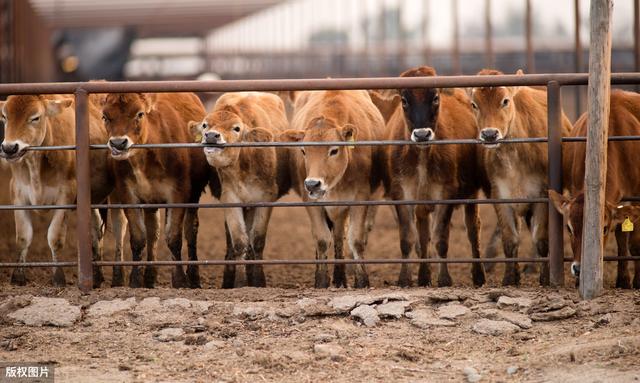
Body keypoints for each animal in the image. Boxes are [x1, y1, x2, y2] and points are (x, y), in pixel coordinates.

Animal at [102, 92, 216, 288]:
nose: (118, 143)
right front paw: (135, 280)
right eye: (105, 116)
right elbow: (138, 238)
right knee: (152, 232)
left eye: (140, 114)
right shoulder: (128, 194)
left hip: (193, 195)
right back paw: (149, 277)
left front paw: (180, 280)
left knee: (190, 230)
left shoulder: (178, 193)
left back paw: (193, 277)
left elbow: (174, 237)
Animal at [190, 92, 290, 288]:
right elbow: (239, 242)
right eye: (205, 125)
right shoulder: (230, 198)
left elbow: (257, 241)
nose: (211, 136)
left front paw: (258, 280)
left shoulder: (265, 198)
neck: (245, 161)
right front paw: (240, 282)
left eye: (236, 128)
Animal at [280, 91, 384, 288]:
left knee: (338, 236)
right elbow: (321, 239)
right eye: (303, 150)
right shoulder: (310, 201)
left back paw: (340, 277)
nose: (312, 184)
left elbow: (355, 240)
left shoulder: (360, 197)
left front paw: (362, 281)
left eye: (334, 150)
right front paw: (321, 280)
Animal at [470, 69, 568, 286]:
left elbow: (541, 239)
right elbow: (510, 239)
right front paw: (509, 278)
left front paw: (545, 278)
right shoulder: (500, 196)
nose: (489, 134)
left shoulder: (542, 196)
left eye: (505, 101)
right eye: (474, 104)